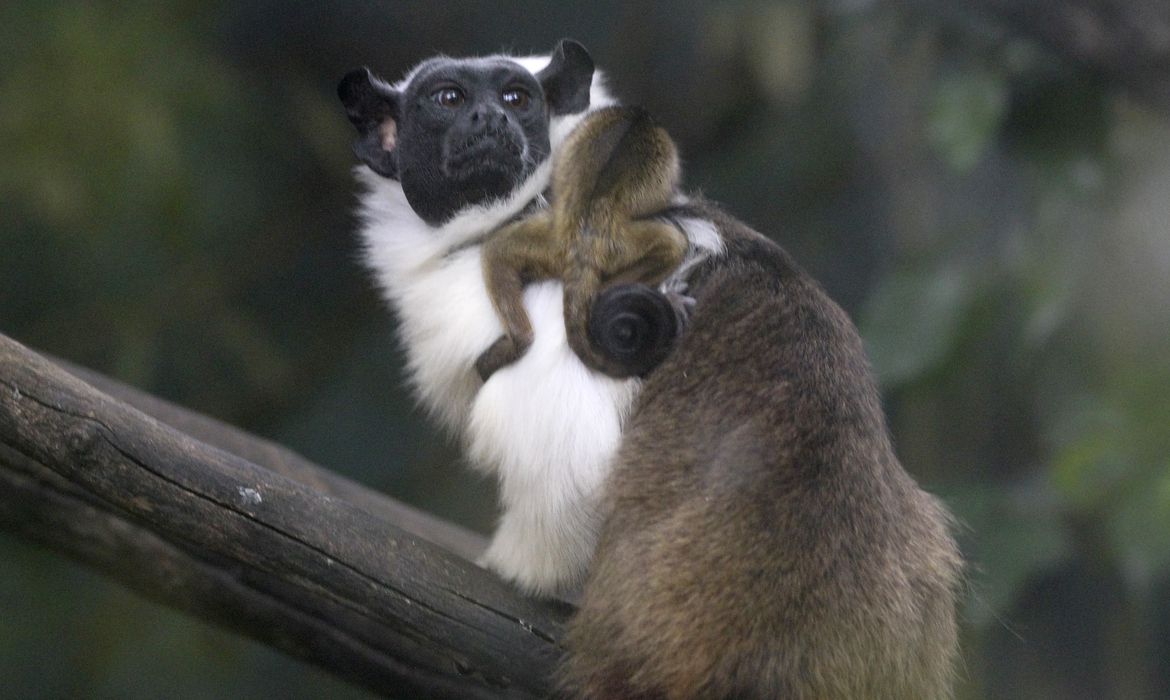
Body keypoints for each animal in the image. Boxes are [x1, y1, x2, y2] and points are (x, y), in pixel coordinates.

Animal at [477, 104, 687, 381]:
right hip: (614, 245)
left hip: (555, 245)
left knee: (496, 250)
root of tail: (583, 245)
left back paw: (520, 339)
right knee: (674, 244)